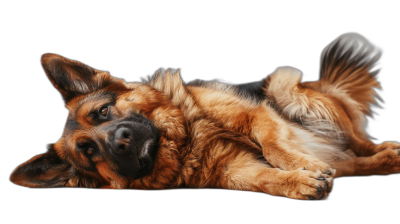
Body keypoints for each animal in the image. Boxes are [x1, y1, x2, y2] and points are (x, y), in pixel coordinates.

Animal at [8, 32, 396, 201]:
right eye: (89, 151)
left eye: (102, 111)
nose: (120, 142)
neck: (184, 141)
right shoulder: (234, 170)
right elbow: (265, 178)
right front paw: (300, 182)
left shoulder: (254, 114)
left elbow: (274, 144)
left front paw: (304, 165)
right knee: (349, 163)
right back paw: (383, 161)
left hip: (288, 88)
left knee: (358, 144)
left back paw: (385, 152)